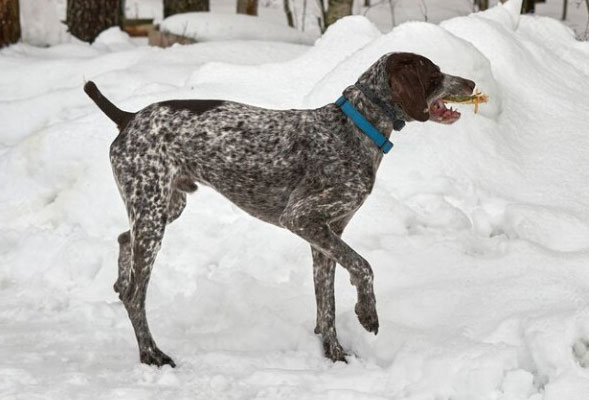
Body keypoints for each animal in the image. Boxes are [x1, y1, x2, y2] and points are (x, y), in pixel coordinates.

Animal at [85, 51, 476, 368]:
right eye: (434, 73)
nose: (471, 82)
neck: (356, 128)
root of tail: (129, 117)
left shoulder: (326, 234)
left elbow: (326, 303)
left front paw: (334, 353)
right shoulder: (301, 218)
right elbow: (363, 267)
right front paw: (367, 313)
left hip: (165, 207)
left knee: (124, 241)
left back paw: (120, 284)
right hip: (152, 215)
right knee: (136, 294)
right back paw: (150, 353)